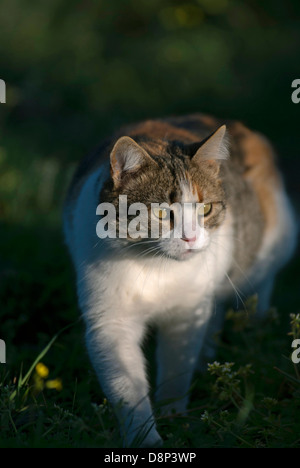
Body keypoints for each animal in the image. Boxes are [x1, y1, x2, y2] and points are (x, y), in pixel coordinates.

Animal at [63, 112, 296, 446]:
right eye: (162, 214)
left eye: (206, 208)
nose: (191, 238)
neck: (154, 266)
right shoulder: (110, 320)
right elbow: (125, 384)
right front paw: (144, 437)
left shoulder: (187, 312)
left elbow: (177, 367)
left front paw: (174, 416)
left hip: (271, 245)